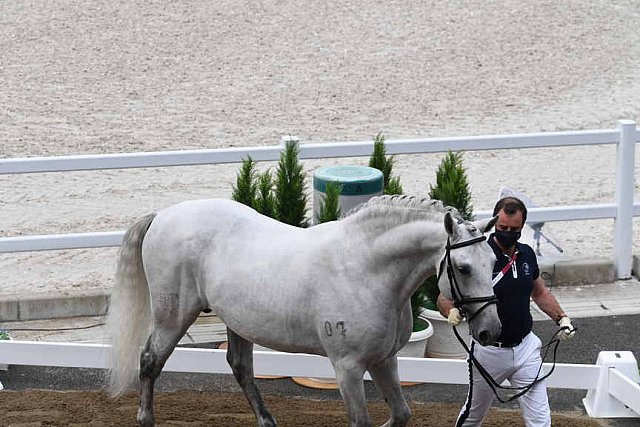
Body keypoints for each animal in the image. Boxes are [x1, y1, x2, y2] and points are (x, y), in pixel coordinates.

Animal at [107, 196, 502, 426]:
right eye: (464, 268)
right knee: (150, 362)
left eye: (495, 260)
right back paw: (146, 419)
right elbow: (363, 422)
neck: (366, 268)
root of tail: (163, 215)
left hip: (237, 323)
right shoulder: (348, 367)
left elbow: (401, 414)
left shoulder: (384, 359)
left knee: (240, 368)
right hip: (172, 317)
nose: (491, 331)